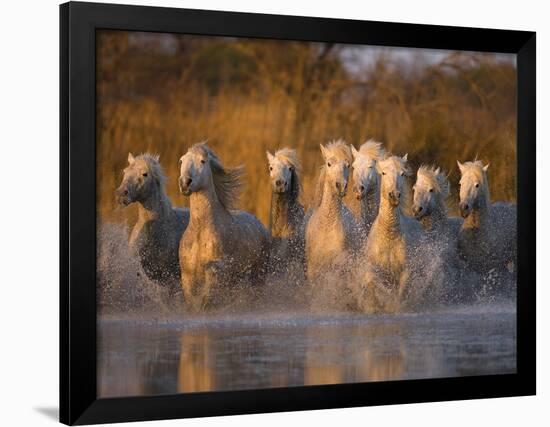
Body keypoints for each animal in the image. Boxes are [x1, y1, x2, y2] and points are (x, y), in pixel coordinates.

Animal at [178, 143, 270, 310]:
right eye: (181, 160)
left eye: (202, 161)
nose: (185, 183)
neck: (200, 231)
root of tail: (260, 225)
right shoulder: (187, 277)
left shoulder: (215, 273)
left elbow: (206, 302)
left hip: (258, 275)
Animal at [304, 141, 360, 288]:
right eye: (329, 164)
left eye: (348, 165)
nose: (341, 186)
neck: (326, 227)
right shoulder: (313, 270)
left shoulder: (337, 269)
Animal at [358, 155, 422, 312]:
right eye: (384, 173)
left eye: (402, 174)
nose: (394, 195)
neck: (389, 235)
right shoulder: (373, 268)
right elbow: (373, 282)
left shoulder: (405, 272)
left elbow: (400, 293)